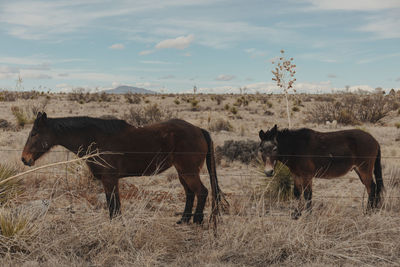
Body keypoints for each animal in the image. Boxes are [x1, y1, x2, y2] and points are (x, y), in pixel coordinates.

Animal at [22, 112, 225, 225]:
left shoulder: (110, 180)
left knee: (202, 192)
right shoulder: (109, 181)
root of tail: (198, 130)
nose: (25, 159)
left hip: (188, 172)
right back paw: (183, 220)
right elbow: (113, 207)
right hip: (182, 172)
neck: (96, 139)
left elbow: (114, 207)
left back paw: (197, 221)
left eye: (34, 133)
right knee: (190, 193)